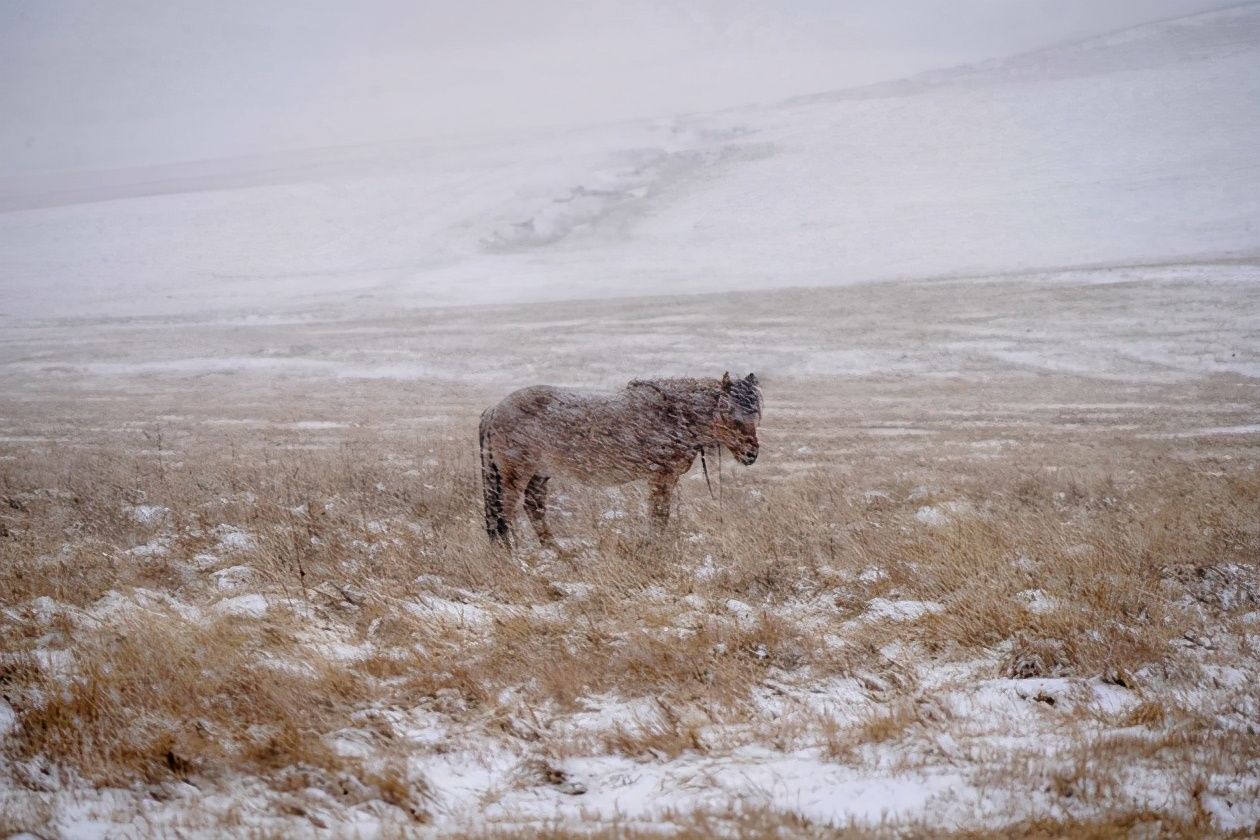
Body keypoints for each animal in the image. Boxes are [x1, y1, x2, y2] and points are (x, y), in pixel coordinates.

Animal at [478, 372, 756, 546]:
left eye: (756, 414)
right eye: (729, 414)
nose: (751, 454)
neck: (673, 414)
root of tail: (494, 409)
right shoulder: (661, 476)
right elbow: (659, 516)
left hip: (540, 473)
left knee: (533, 507)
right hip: (516, 475)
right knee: (506, 512)